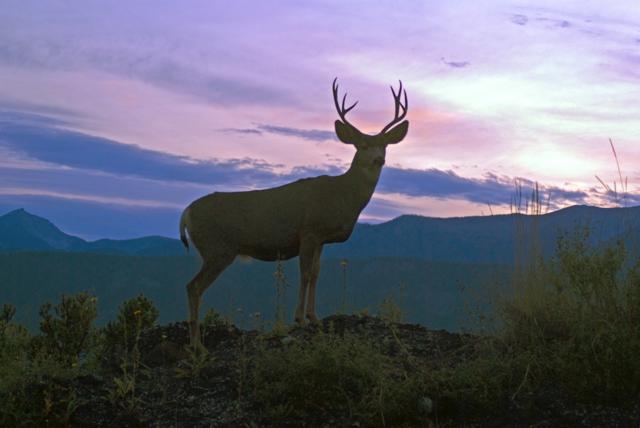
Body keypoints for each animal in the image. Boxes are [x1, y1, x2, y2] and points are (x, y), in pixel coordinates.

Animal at [179, 78, 409, 346]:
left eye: (385, 145)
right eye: (362, 145)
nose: (378, 159)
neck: (343, 196)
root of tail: (186, 213)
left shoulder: (321, 239)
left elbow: (316, 273)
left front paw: (314, 317)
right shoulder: (308, 231)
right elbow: (305, 272)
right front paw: (299, 318)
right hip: (218, 248)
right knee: (193, 287)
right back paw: (197, 345)